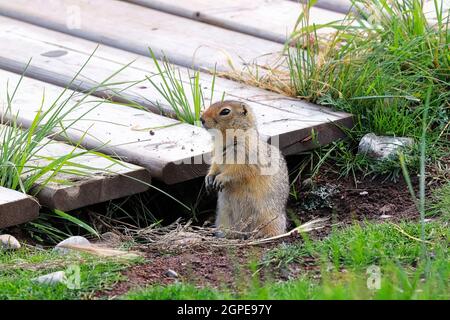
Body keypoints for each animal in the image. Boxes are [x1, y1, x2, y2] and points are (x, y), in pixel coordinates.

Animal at [200, 100, 288, 238]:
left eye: (225, 111)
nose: (201, 119)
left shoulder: (247, 156)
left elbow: (238, 171)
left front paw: (220, 178)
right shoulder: (216, 154)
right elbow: (214, 166)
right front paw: (209, 179)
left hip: (269, 217)